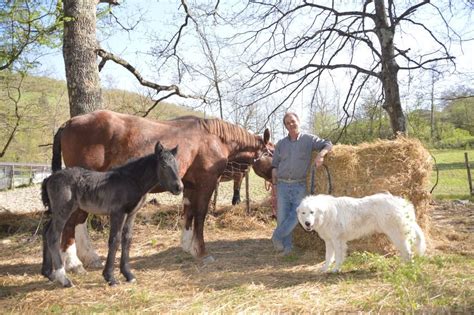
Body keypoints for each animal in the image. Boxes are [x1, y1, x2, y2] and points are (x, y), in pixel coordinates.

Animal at [40, 142, 182, 288]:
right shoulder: (118, 213)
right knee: (53, 235)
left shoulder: (131, 214)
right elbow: (115, 240)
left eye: (177, 165)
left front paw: (128, 275)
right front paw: (110, 277)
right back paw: (64, 279)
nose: (179, 188)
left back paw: (48, 273)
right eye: (164, 165)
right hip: (63, 210)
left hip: (59, 211)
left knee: (45, 230)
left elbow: (127, 239)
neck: (131, 180)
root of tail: (50, 178)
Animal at [51, 110, 274, 268]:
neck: (213, 137)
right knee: (72, 220)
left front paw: (187, 246)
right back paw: (73, 263)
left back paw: (87, 258)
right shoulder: (206, 183)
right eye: (272, 151)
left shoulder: (189, 185)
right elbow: (200, 215)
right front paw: (201, 252)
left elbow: (188, 212)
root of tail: (69, 123)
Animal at [296, 194, 426, 272]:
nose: (307, 223)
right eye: (303, 213)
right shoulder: (329, 241)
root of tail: (403, 203)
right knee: (405, 253)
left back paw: (407, 269)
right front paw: (324, 269)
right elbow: (328, 257)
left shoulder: (337, 240)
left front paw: (336, 269)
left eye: (312, 212)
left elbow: (338, 257)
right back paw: (403, 266)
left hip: (396, 235)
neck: (325, 213)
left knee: (408, 253)